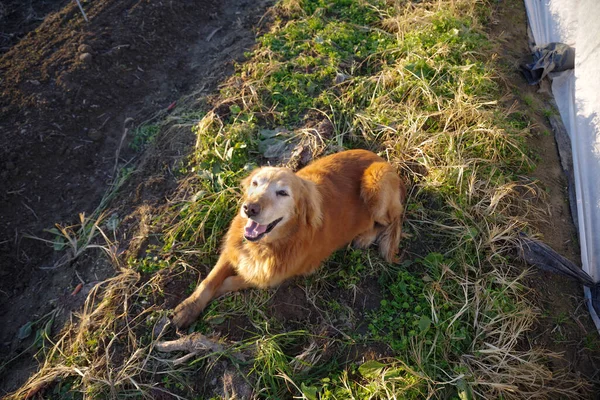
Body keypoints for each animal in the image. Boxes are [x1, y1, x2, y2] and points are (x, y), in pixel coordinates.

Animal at [173, 149, 408, 328]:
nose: (249, 208)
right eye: (255, 183)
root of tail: (383, 160)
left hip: (376, 183)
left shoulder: (271, 277)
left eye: (283, 193)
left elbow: (229, 281)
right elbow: (209, 281)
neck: (265, 245)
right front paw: (187, 309)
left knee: (392, 218)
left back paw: (366, 237)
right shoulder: (232, 251)